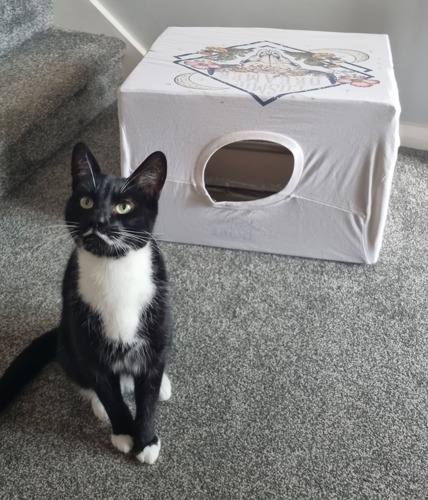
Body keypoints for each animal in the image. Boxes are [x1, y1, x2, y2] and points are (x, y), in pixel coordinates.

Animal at [0, 143, 174, 466]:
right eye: (85, 201)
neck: (114, 269)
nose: (98, 221)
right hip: (69, 337)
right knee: (80, 375)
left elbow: (147, 394)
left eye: (124, 207)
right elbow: (106, 390)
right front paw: (124, 432)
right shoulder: (88, 344)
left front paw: (146, 441)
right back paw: (100, 406)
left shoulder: (156, 322)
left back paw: (162, 383)